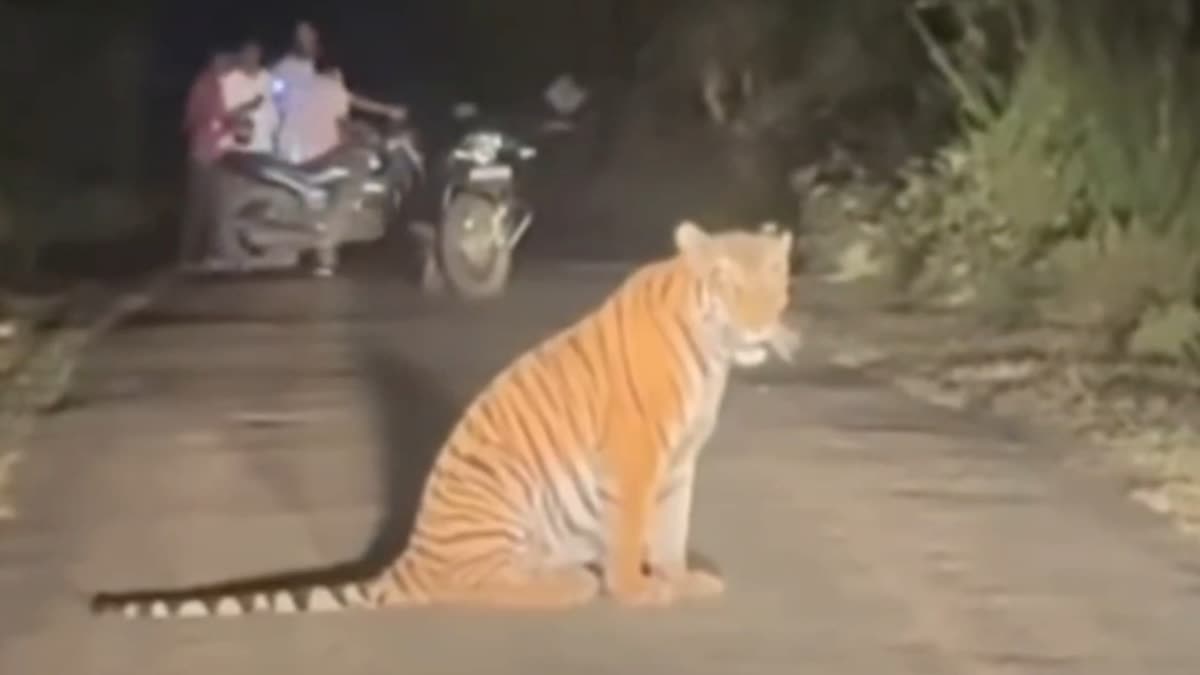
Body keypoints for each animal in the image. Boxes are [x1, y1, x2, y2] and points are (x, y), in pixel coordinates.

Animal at [90, 219, 800, 618]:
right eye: (728, 281)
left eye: (774, 280)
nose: (761, 326)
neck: (713, 355)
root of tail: (412, 555)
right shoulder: (635, 455)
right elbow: (633, 532)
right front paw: (638, 591)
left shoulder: (678, 460)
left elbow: (671, 528)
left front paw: (681, 579)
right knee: (475, 587)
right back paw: (570, 585)